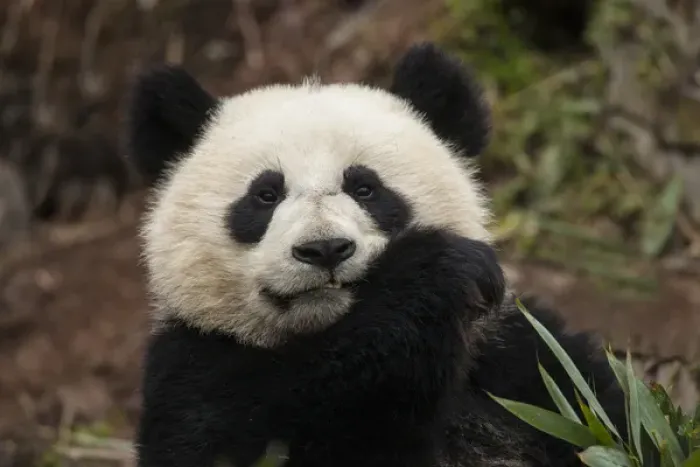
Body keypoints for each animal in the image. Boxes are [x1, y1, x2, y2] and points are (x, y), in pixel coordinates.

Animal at [128, 42, 628, 467]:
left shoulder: (519, 359)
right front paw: (432, 274)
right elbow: (246, 437)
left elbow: (600, 415)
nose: (324, 249)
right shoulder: (194, 367)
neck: (329, 331)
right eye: (265, 195)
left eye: (366, 188)